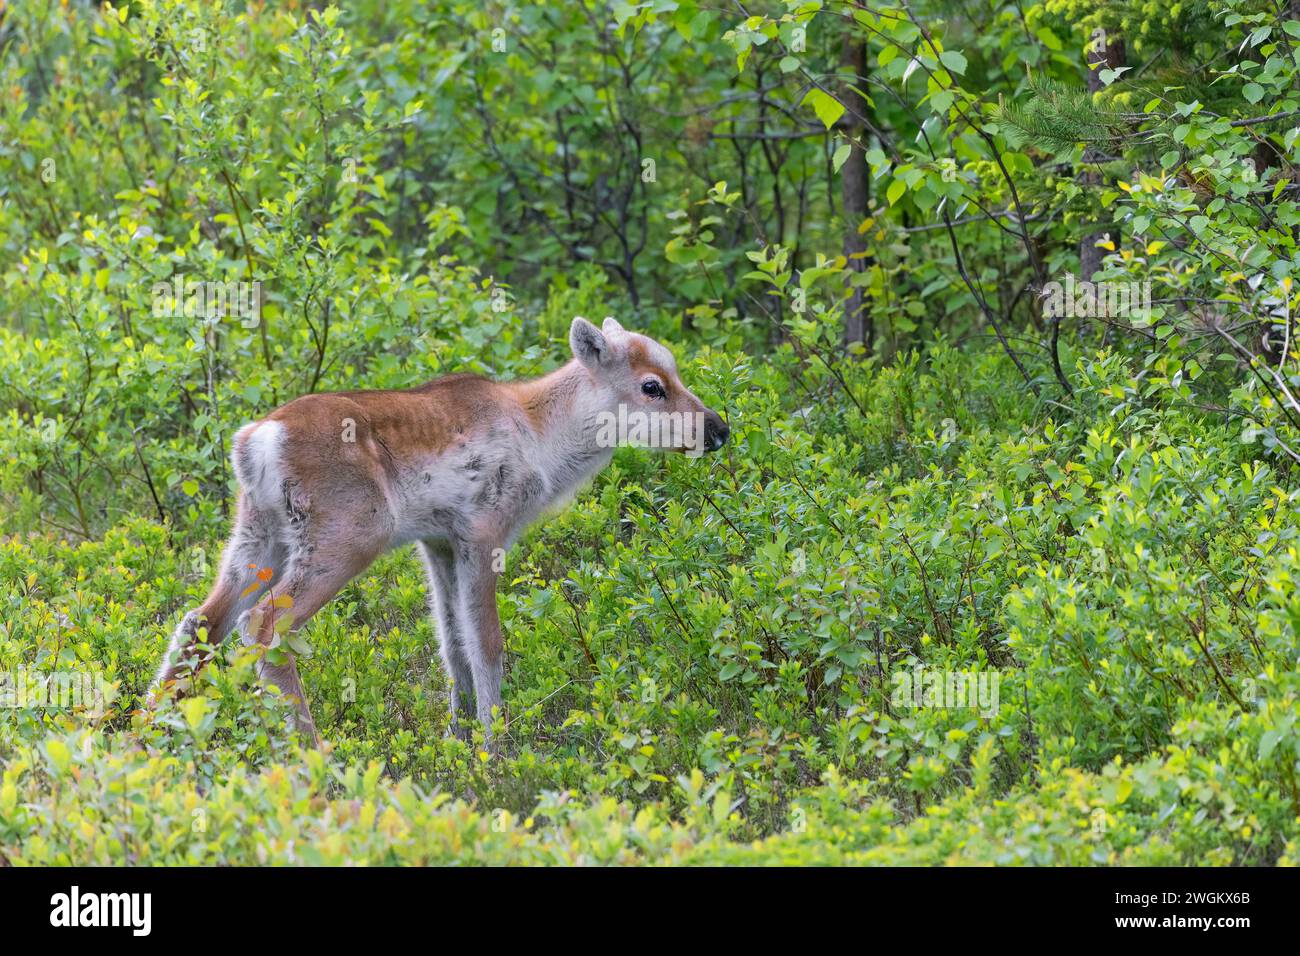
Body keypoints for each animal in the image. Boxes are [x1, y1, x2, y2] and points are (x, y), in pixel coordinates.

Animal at [152, 317, 733, 738]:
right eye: (652, 386)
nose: (719, 429)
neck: (543, 439)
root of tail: (254, 441)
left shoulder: (438, 543)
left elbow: (452, 644)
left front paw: (459, 735)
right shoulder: (483, 532)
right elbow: (488, 644)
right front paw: (496, 747)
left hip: (257, 537)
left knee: (199, 621)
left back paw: (146, 736)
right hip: (346, 538)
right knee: (264, 625)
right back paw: (312, 754)